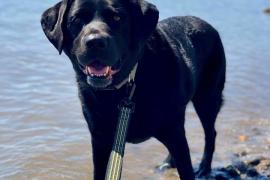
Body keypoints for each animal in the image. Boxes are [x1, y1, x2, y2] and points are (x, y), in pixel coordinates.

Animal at [40, 0, 226, 179]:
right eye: (77, 19)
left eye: (117, 18)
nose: (95, 42)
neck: (121, 88)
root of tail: (207, 24)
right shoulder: (100, 141)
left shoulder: (174, 133)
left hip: (207, 100)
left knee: (211, 133)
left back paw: (204, 168)